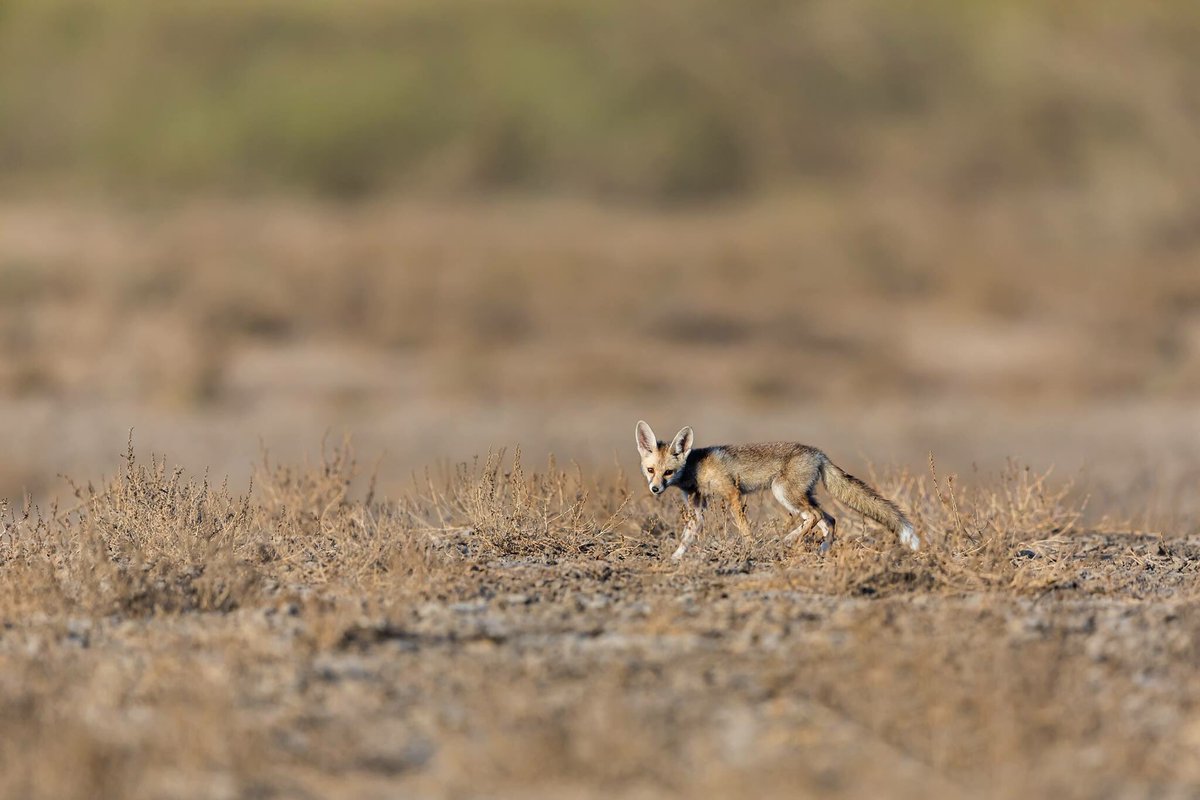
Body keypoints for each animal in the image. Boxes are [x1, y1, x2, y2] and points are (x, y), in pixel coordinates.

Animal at [635, 421, 919, 560]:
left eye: (668, 472)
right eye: (651, 470)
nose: (655, 488)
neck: (696, 469)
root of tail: (819, 453)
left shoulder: (733, 494)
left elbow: (744, 528)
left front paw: (751, 548)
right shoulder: (697, 508)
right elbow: (687, 536)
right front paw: (675, 557)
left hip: (782, 492)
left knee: (817, 516)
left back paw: (788, 540)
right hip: (799, 498)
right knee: (829, 519)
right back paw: (822, 550)